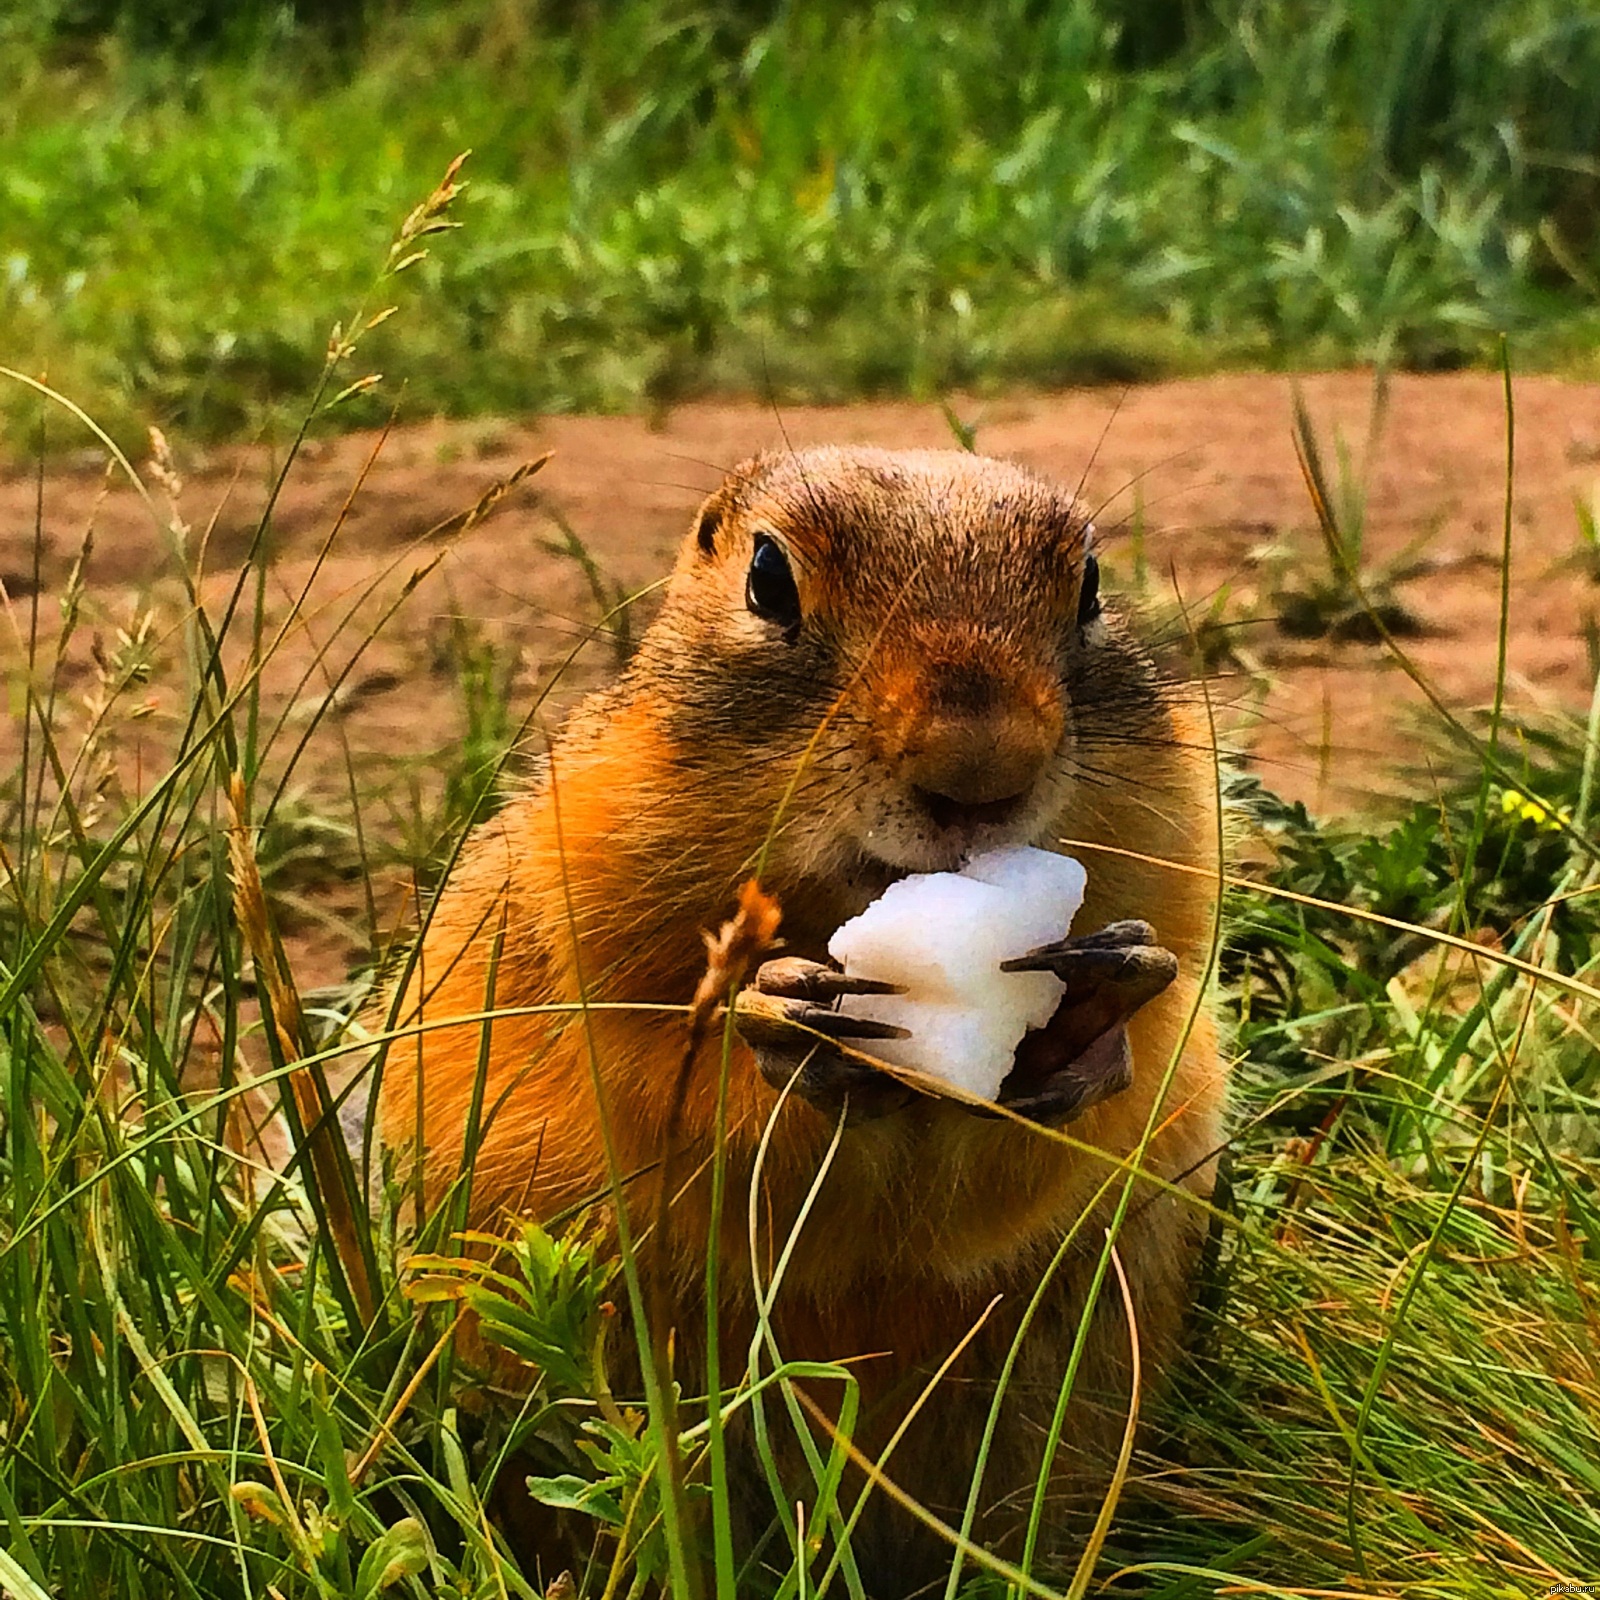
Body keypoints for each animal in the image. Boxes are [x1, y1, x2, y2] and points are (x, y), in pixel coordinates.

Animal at [380, 444, 1228, 1593]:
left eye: (1090, 583)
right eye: (767, 578)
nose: (982, 767)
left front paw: (1098, 1010)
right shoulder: (582, 919)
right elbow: (674, 1100)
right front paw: (787, 1022)